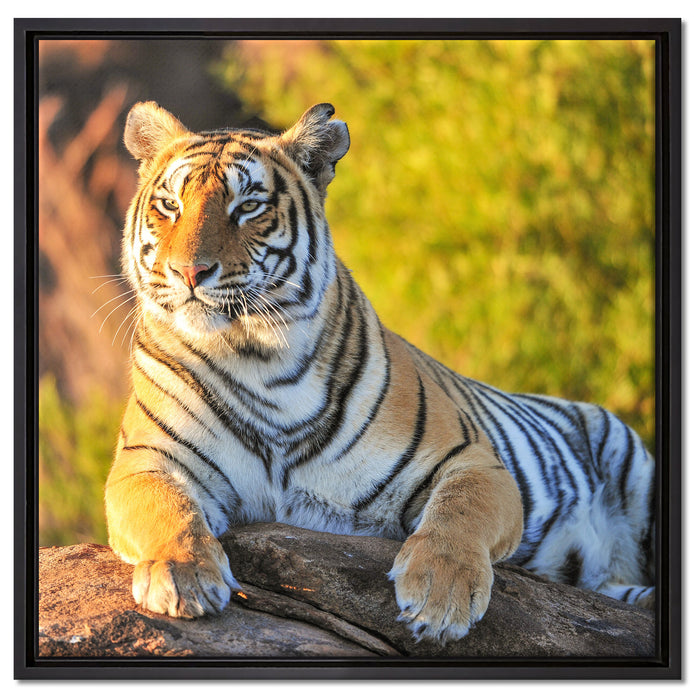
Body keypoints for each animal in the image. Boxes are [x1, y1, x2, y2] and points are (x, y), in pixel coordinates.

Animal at [105, 101, 655, 643]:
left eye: (248, 207)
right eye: (170, 206)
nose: (189, 272)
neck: (256, 358)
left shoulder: (472, 460)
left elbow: (459, 513)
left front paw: (440, 596)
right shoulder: (146, 460)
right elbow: (166, 510)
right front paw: (182, 576)